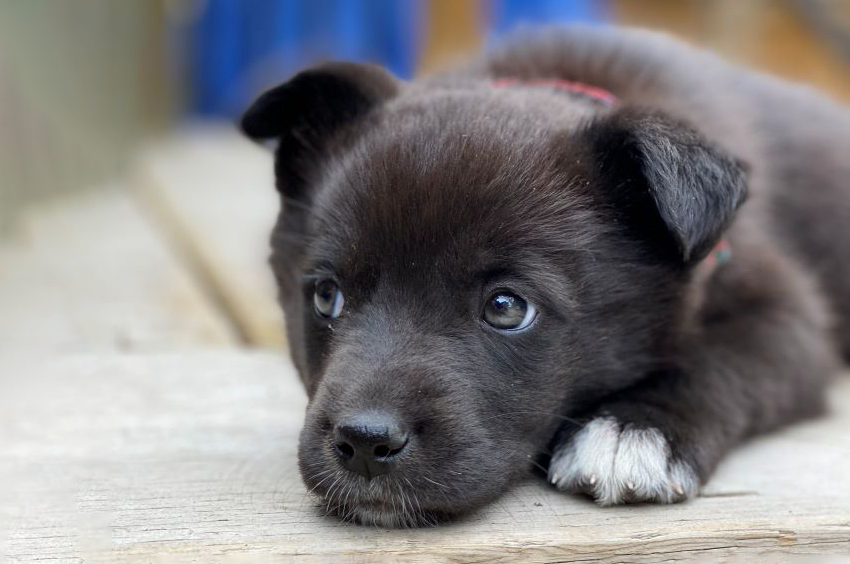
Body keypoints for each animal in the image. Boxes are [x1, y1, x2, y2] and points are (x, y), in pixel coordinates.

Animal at [238, 25, 848, 528]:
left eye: (506, 307)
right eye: (327, 296)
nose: (365, 442)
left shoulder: (786, 313)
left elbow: (719, 360)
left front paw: (630, 430)